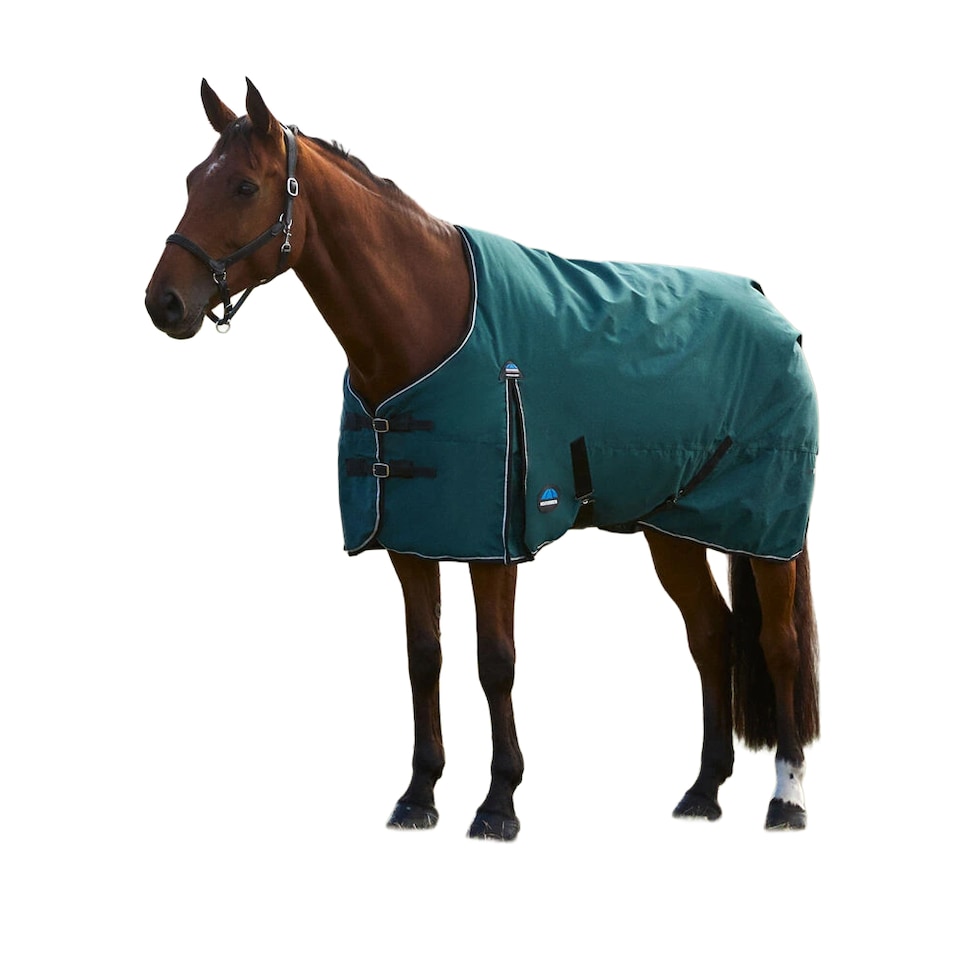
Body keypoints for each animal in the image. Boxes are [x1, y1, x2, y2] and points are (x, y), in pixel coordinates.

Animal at [145, 79, 819, 838]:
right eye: (191, 180)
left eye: (243, 185)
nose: (163, 303)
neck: (428, 326)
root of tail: (768, 306)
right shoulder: (412, 538)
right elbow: (424, 659)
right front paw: (419, 794)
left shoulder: (496, 541)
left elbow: (495, 662)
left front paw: (499, 802)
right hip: (671, 528)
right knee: (711, 634)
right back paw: (703, 790)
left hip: (768, 530)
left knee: (779, 645)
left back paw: (786, 798)